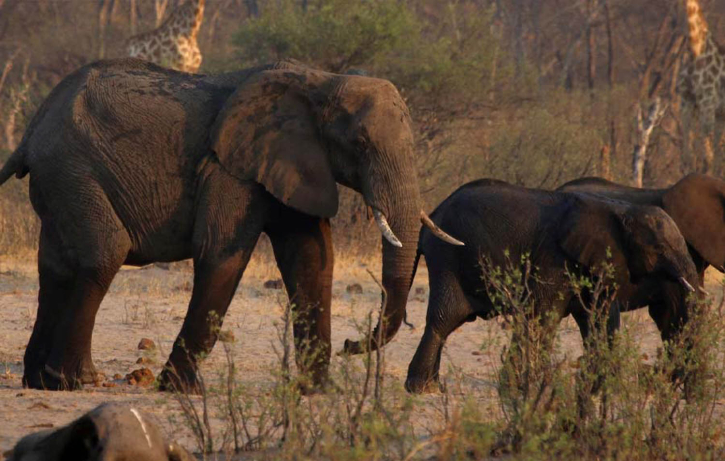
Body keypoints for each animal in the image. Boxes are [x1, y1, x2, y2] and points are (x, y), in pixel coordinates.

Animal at [0, 55, 460, 390]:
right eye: (360, 143)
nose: (352, 344)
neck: (322, 80)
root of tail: (31, 130)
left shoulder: (292, 163)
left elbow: (312, 260)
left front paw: (316, 392)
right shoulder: (231, 169)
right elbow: (222, 254)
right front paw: (180, 390)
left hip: (60, 180)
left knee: (55, 267)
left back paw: (39, 382)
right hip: (72, 169)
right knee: (103, 254)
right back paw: (76, 381)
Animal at [404, 179, 700, 392]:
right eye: (660, 249)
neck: (618, 209)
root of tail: (431, 215)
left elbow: (598, 319)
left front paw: (601, 388)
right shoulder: (554, 258)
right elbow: (543, 317)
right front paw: (521, 388)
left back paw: (431, 387)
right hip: (448, 256)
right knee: (444, 319)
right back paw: (422, 389)